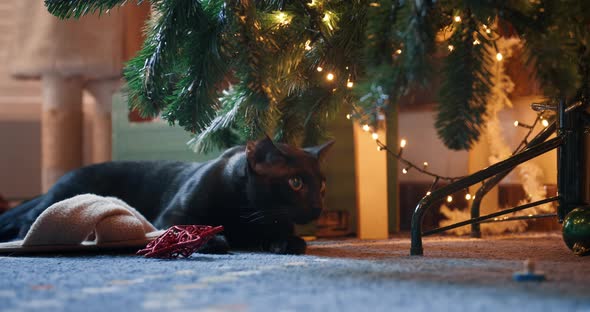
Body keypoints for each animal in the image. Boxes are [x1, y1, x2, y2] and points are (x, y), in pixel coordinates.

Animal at [0, 138, 332, 255]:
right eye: (295, 183)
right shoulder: (171, 216)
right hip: (61, 198)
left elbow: (279, 233)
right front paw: (211, 240)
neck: (245, 212)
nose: (318, 206)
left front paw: (288, 242)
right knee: (27, 221)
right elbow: (187, 228)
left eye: (322, 187)